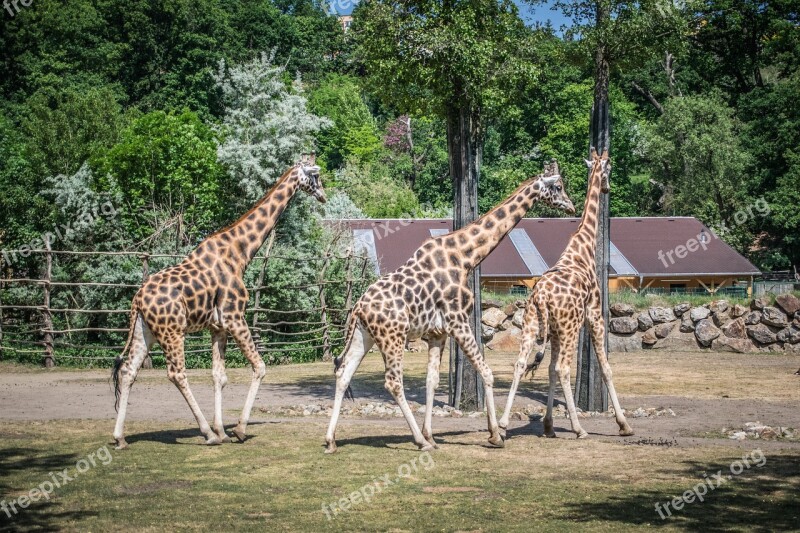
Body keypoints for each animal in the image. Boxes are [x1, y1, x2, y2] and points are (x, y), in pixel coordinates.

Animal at [111, 156, 326, 446]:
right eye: (315, 175)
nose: (323, 195)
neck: (240, 252)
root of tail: (137, 299)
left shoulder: (218, 327)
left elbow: (218, 376)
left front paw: (223, 429)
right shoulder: (235, 317)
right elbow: (260, 367)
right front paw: (238, 430)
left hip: (145, 331)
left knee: (128, 371)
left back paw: (120, 437)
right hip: (172, 331)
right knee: (176, 373)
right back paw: (207, 434)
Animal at [324, 162, 576, 454]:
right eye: (558, 186)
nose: (571, 206)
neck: (465, 257)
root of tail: (358, 307)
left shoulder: (438, 333)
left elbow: (432, 381)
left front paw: (432, 434)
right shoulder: (458, 320)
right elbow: (486, 372)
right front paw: (494, 435)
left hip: (363, 335)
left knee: (343, 373)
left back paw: (331, 441)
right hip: (393, 336)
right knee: (392, 381)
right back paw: (419, 442)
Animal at [496, 147, 636, 440]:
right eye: (609, 169)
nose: (607, 187)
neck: (583, 246)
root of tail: (540, 297)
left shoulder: (554, 331)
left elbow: (548, 370)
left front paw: (548, 425)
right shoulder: (594, 316)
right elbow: (606, 367)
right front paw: (624, 425)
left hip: (532, 325)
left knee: (521, 364)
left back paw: (502, 424)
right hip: (570, 327)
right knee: (563, 368)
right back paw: (579, 428)